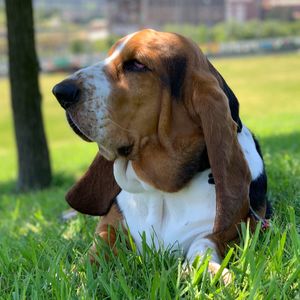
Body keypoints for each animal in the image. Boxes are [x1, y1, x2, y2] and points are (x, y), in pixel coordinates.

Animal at [52, 29, 270, 278]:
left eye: (136, 64)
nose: (60, 92)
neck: (161, 191)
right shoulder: (109, 226)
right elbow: (98, 246)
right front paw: (76, 274)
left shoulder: (237, 229)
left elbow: (202, 245)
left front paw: (210, 271)